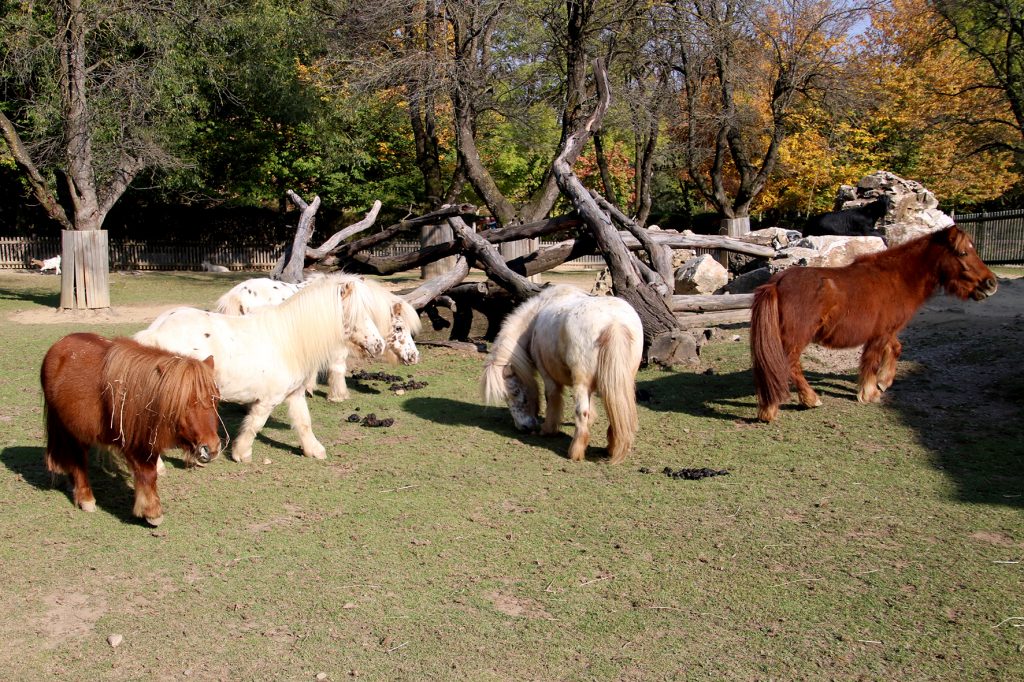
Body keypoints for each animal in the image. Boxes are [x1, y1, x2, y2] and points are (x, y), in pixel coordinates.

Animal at [40, 331, 221, 522]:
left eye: (215, 399)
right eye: (185, 404)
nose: (212, 448)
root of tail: (58, 346)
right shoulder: (134, 443)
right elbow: (147, 473)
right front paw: (152, 511)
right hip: (68, 429)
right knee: (78, 460)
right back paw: (86, 498)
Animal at [136, 276, 387, 462]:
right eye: (358, 315)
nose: (379, 345)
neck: (289, 339)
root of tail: (154, 333)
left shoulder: (295, 394)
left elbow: (303, 422)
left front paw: (314, 450)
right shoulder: (268, 399)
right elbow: (255, 424)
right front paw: (241, 453)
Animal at [479, 284, 638, 464]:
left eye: (513, 392)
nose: (524, 427)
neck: (535, 318)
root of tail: (614, 322)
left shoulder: (547, 375)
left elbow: (551, 398)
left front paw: (548, 429)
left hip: (582, 382)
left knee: (582, 411)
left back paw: (575, 452)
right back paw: (611, 447)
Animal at [749, 224, 995, 419]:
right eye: (963, 252)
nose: (991, 284)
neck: (897, 278)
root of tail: (777, 282)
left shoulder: (888, 331)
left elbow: (895, 348)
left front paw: (884, 381)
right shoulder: (879, 334)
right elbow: (871, 361)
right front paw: (870, 392)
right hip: (796, 338)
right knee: (788, 365)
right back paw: (808, 400)